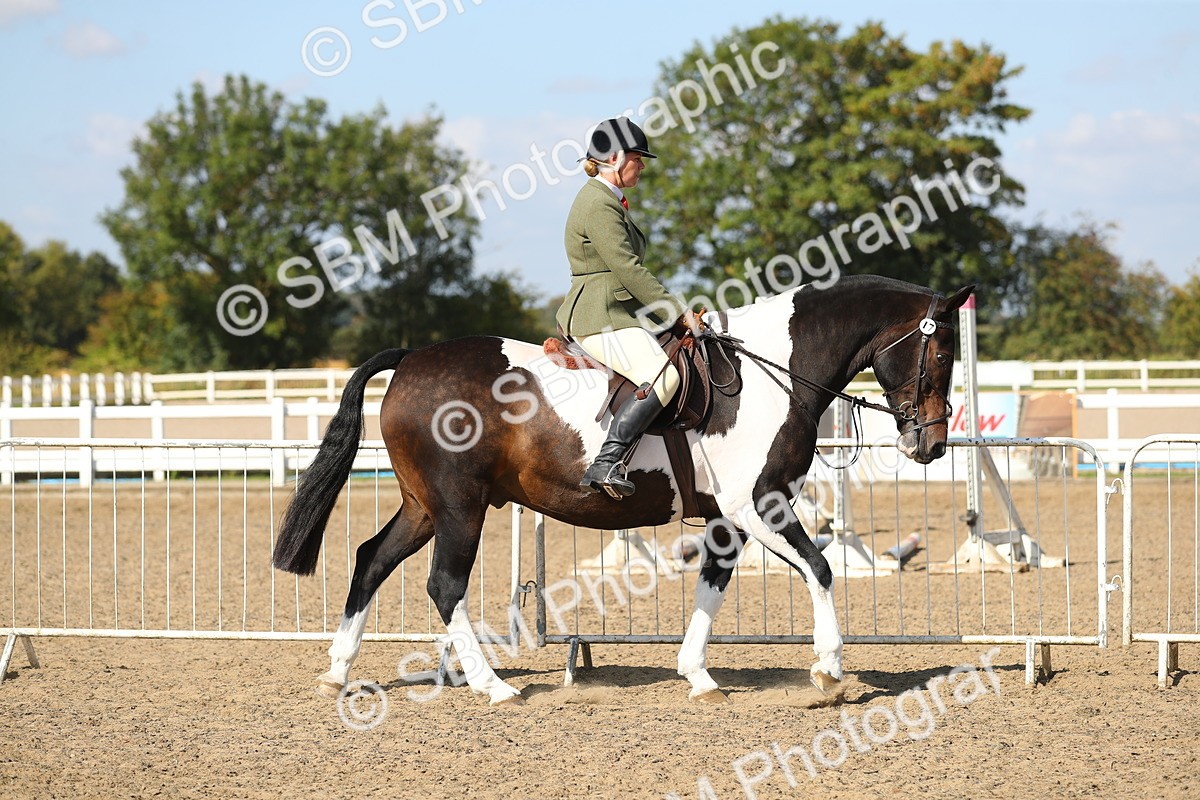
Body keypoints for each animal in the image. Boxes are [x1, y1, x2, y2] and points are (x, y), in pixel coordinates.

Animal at [272, 275, 973, 705]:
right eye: (941, 356)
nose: (931, 445)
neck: (773, 372)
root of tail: (412, 358)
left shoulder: (730, 518)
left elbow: (712, 587)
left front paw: (699, 676)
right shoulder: (759, 504)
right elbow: (822, 569)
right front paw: (828, 670)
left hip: (425, 507)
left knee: (371, 561)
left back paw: (337, 672)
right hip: (459, 509)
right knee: (444, 586)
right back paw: (494, 686)